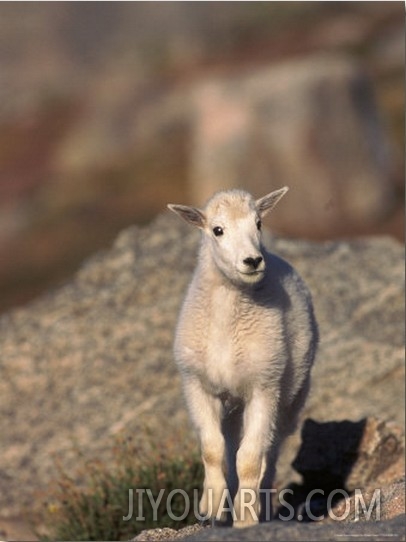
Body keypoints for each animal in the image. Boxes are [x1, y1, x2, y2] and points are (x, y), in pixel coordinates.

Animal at [167, 189, 318, 528]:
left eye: (259, 223)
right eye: (217, 230)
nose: (252, 261)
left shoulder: (264, 386)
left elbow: (249, 460)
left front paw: (246, 518)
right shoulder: (197, 384)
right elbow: (212, 450)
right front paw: (211, 509)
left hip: (289, 397)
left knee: (269, 454)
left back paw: (261, 508)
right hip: (233, 405)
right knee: (230, 446)